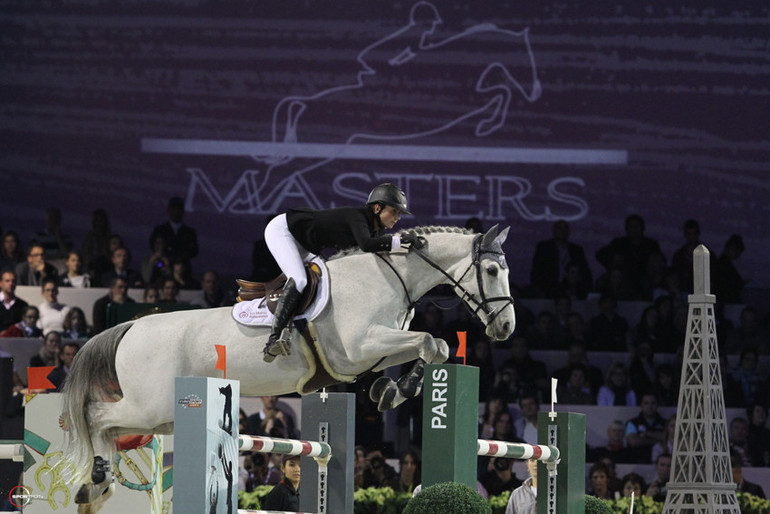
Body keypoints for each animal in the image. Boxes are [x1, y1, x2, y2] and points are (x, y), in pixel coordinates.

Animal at [61, 223, 516, 508]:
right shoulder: (360, 347)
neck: (387, 276)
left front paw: (391, 391)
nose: (506, 327)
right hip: (148, 406)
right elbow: (430, 342)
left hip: (158, 418)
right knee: (96, 417)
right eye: (492, 270)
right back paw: (95, 480)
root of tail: (131, 325)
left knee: (112, 429)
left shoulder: (374, 350)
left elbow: (434, 346)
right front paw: (395, 390)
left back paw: (98, 485)